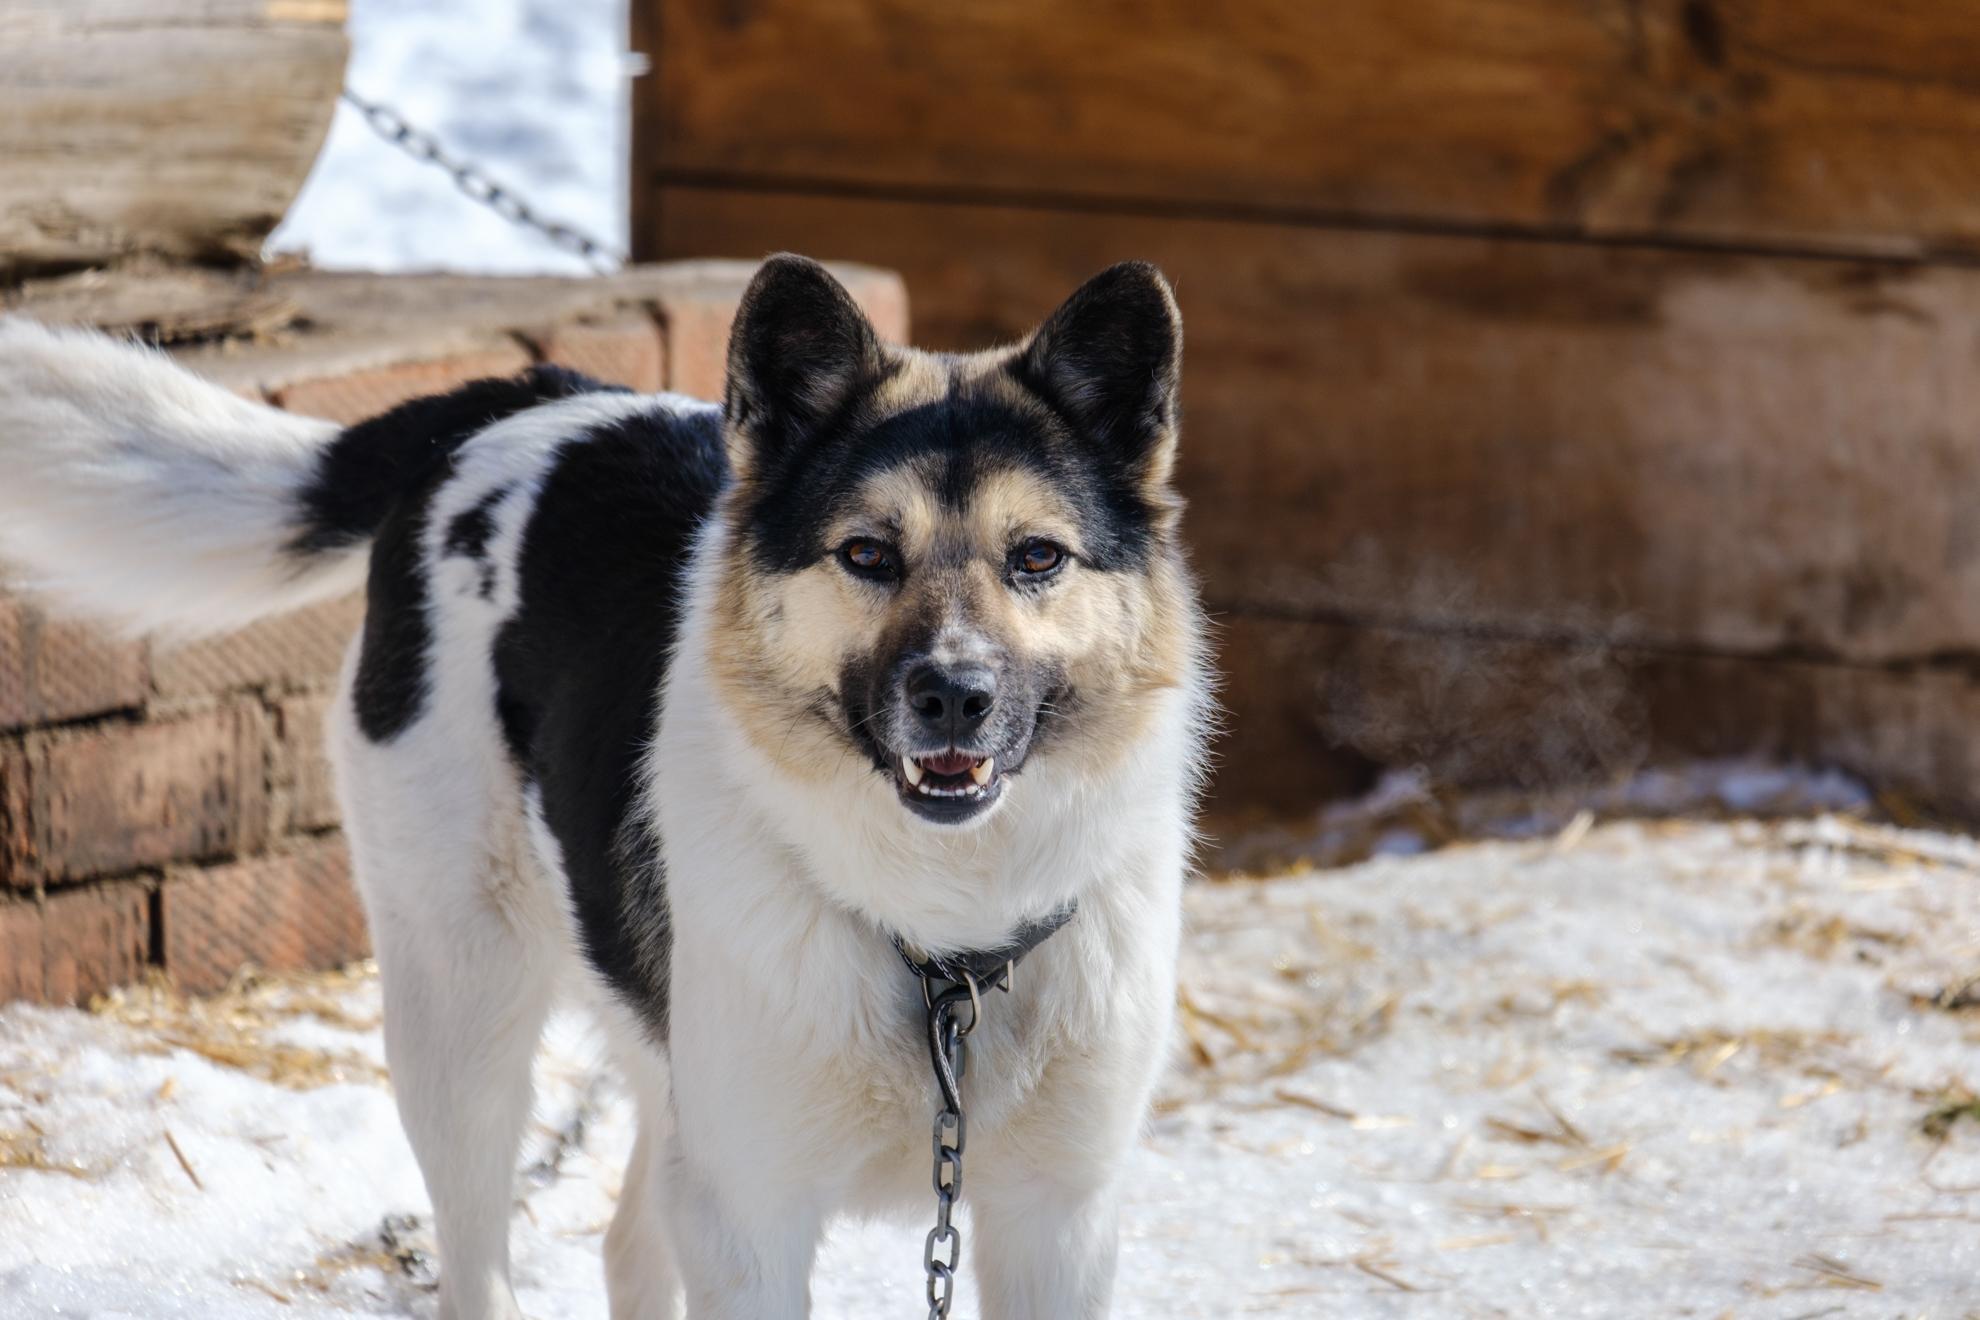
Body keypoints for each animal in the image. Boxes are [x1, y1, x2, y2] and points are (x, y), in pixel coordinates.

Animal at [0, 253, 1203, 1314]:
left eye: (1037, 558)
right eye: (866, 554)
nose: (954, 695)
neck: (945, 941)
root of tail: (526, 400)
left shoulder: (1057, 1223)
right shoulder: (749, 1216)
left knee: (628, 1246)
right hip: (463, 1013)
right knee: (479, 1262)